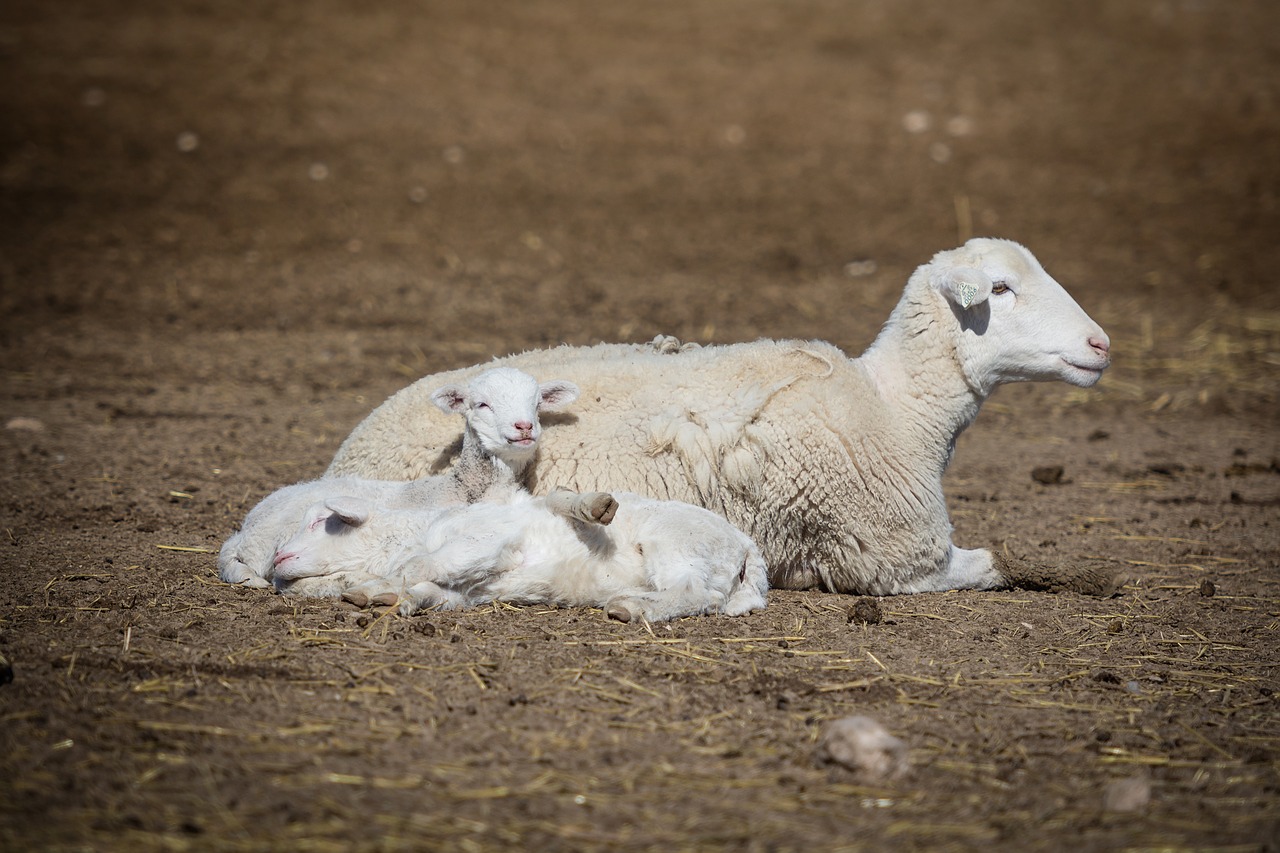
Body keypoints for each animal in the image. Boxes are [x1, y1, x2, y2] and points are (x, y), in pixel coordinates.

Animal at [220, 368, 581, 589]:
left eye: (537, 405)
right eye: (482, 404)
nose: (524, 427)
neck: (464, 487)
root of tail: (249, 522)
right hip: (265, 543)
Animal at [273, 481, 762, 622]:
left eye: (321, 522)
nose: (277, 560)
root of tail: (746, 547)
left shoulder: (484, 540)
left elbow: (424, 564)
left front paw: (383, 587)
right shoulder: (468, 591)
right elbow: (433, 591)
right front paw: (388, 597)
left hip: (677, 542)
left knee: (697, 594)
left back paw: (634, 609)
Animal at [325, 236, 1116, 596]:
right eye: (1001, 289)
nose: (1100, 344)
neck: (896, 408)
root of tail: (352, 443)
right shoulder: (890, 560)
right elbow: (992, 565)